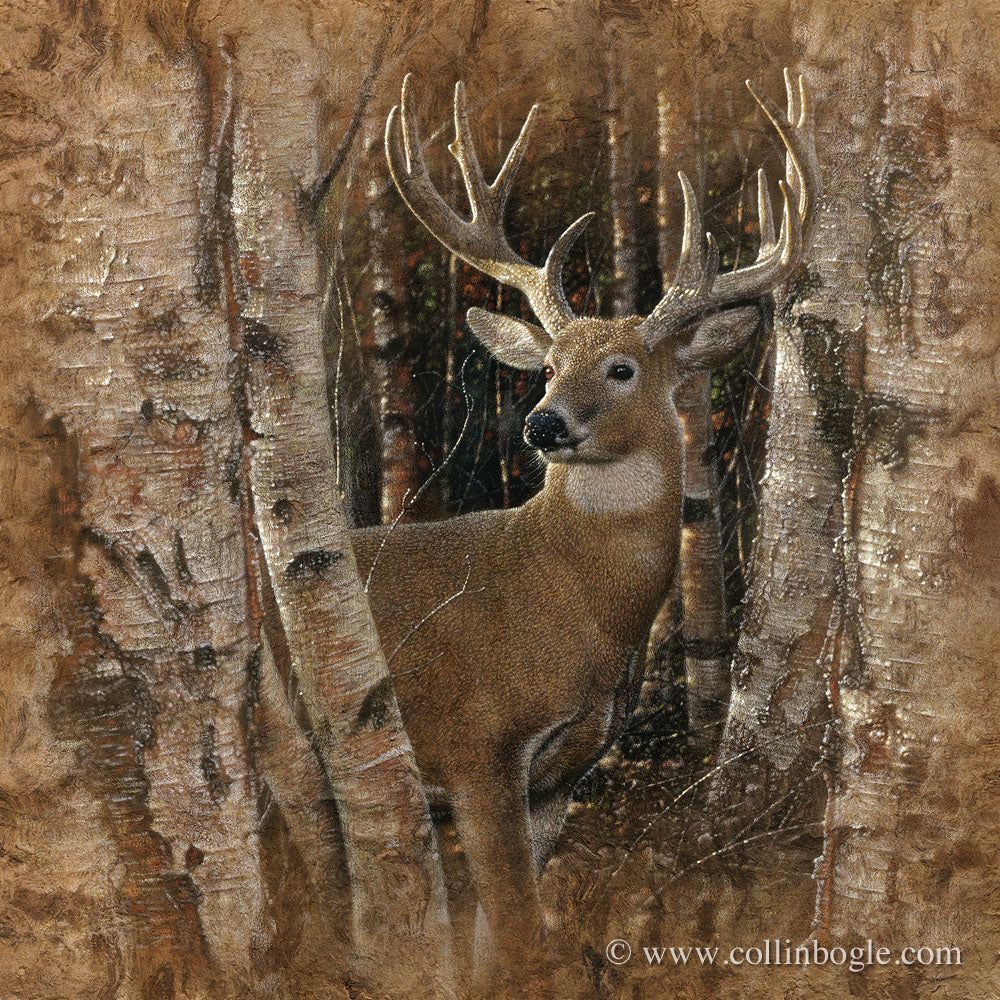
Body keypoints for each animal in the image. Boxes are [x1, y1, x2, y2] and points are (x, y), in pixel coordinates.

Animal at [349, 70, 819, 985]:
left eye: (622, 367)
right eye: (547, 365)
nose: (542, 424)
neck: (561, 601)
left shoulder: (560, 777)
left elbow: (500, 944)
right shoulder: (477, 745)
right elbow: (519, 933)